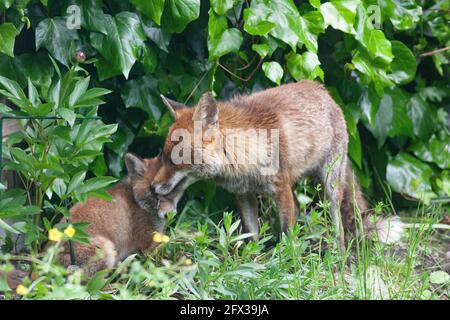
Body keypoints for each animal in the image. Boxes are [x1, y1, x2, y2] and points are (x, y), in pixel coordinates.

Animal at [153, 80, 402, 250]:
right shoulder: (244, 194)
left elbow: (288, 235)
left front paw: (289, 265)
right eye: (162, 155)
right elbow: (252, 234)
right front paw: (252, 262)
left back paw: (337, 256)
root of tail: (324, 91)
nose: (153, 187)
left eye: (175, 158)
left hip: (329, 185)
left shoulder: (281, 189)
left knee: (338, 224)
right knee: (303, 209)